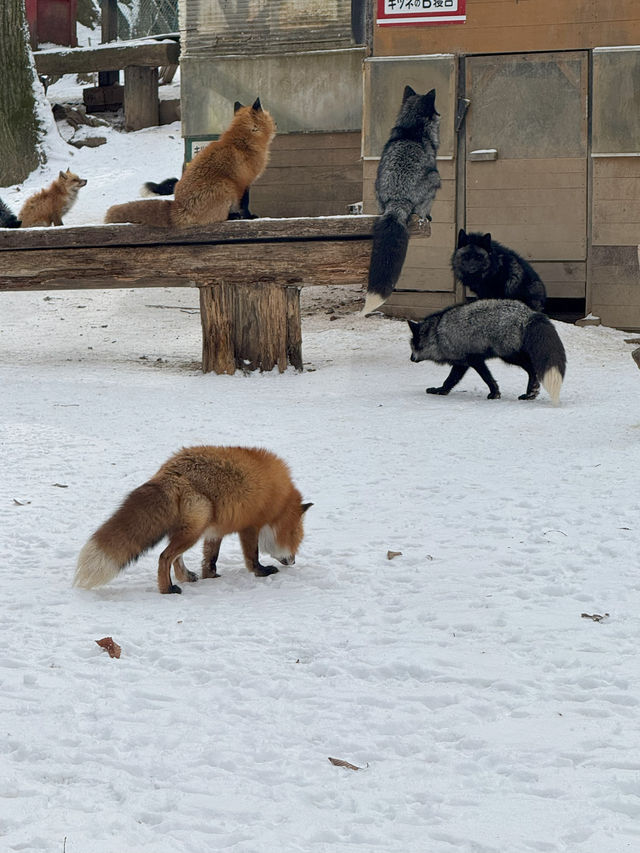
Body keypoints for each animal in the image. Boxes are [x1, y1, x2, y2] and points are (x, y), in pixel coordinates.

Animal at [74, 446, 312, 592]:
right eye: (295, 539)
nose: (293, 561)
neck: (277, 499)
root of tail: (169, 472)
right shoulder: (250, 526)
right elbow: (252, 557)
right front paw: (261, 572)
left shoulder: (216, 531)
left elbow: (210, 559)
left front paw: (211, 577)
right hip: (194, 529)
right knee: (164, 557)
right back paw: (167, 589)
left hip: (192, 529)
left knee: (174, 558)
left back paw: (185, 577)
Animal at [104, 97, 276, 228]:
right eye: (270, 117)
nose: (276, 125)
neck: (243, 142)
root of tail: (177, 207)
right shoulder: (244, 182)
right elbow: (245, 205)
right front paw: (249, 217)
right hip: (225, 186)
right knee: (218, 218)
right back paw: (232, 217)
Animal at [362, 85, 442, 312]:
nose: (441, 115)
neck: (412, 127)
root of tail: (398, 201)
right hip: (436, 178)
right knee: (421, 209)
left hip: (376, 189)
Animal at [408, 300, 568, 406]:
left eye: (414, 346)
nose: (411, 359)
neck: (436, 334)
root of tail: (528, 313)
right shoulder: (462, 363)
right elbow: (451, 380)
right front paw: (441, 390)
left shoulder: (474, 360)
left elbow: (485, 378)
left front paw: (494, 393)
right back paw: (531, 393)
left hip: (509, 355)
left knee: (532, 368)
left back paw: (530, 392)